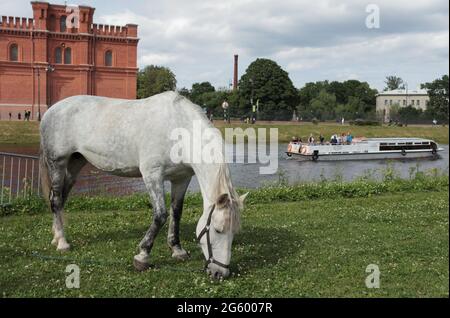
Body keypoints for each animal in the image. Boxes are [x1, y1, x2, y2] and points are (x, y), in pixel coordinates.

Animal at [39, 91, 248, 278]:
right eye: (218, 230)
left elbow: (176, 213)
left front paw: (177, 249)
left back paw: (56, 236)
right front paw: (142, 255)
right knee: (56, 200)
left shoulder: (181, 179)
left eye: (234, 232)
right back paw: (62, 242)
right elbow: (160, 215)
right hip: (57, 163)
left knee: (60, 198)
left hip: (75, 164)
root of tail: (50, 111)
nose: (220, 273)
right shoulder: (152, 175)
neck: (178, 129)